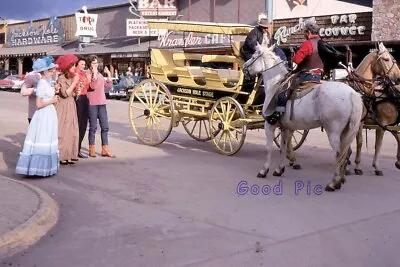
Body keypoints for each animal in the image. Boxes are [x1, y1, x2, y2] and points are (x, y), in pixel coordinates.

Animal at [242, 44, 364, 192]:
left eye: (254, 56)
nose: (244, 67)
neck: (275, 85)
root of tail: (352, 94)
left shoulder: (270, 125)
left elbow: (269, 148)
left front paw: (264, 171)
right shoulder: (286, 128)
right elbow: (283, 148)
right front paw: (279, 169)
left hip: (333, 132)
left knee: (338, 154)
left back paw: (333, 183)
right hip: (346, 132)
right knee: (346, 153)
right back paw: (340, 180)